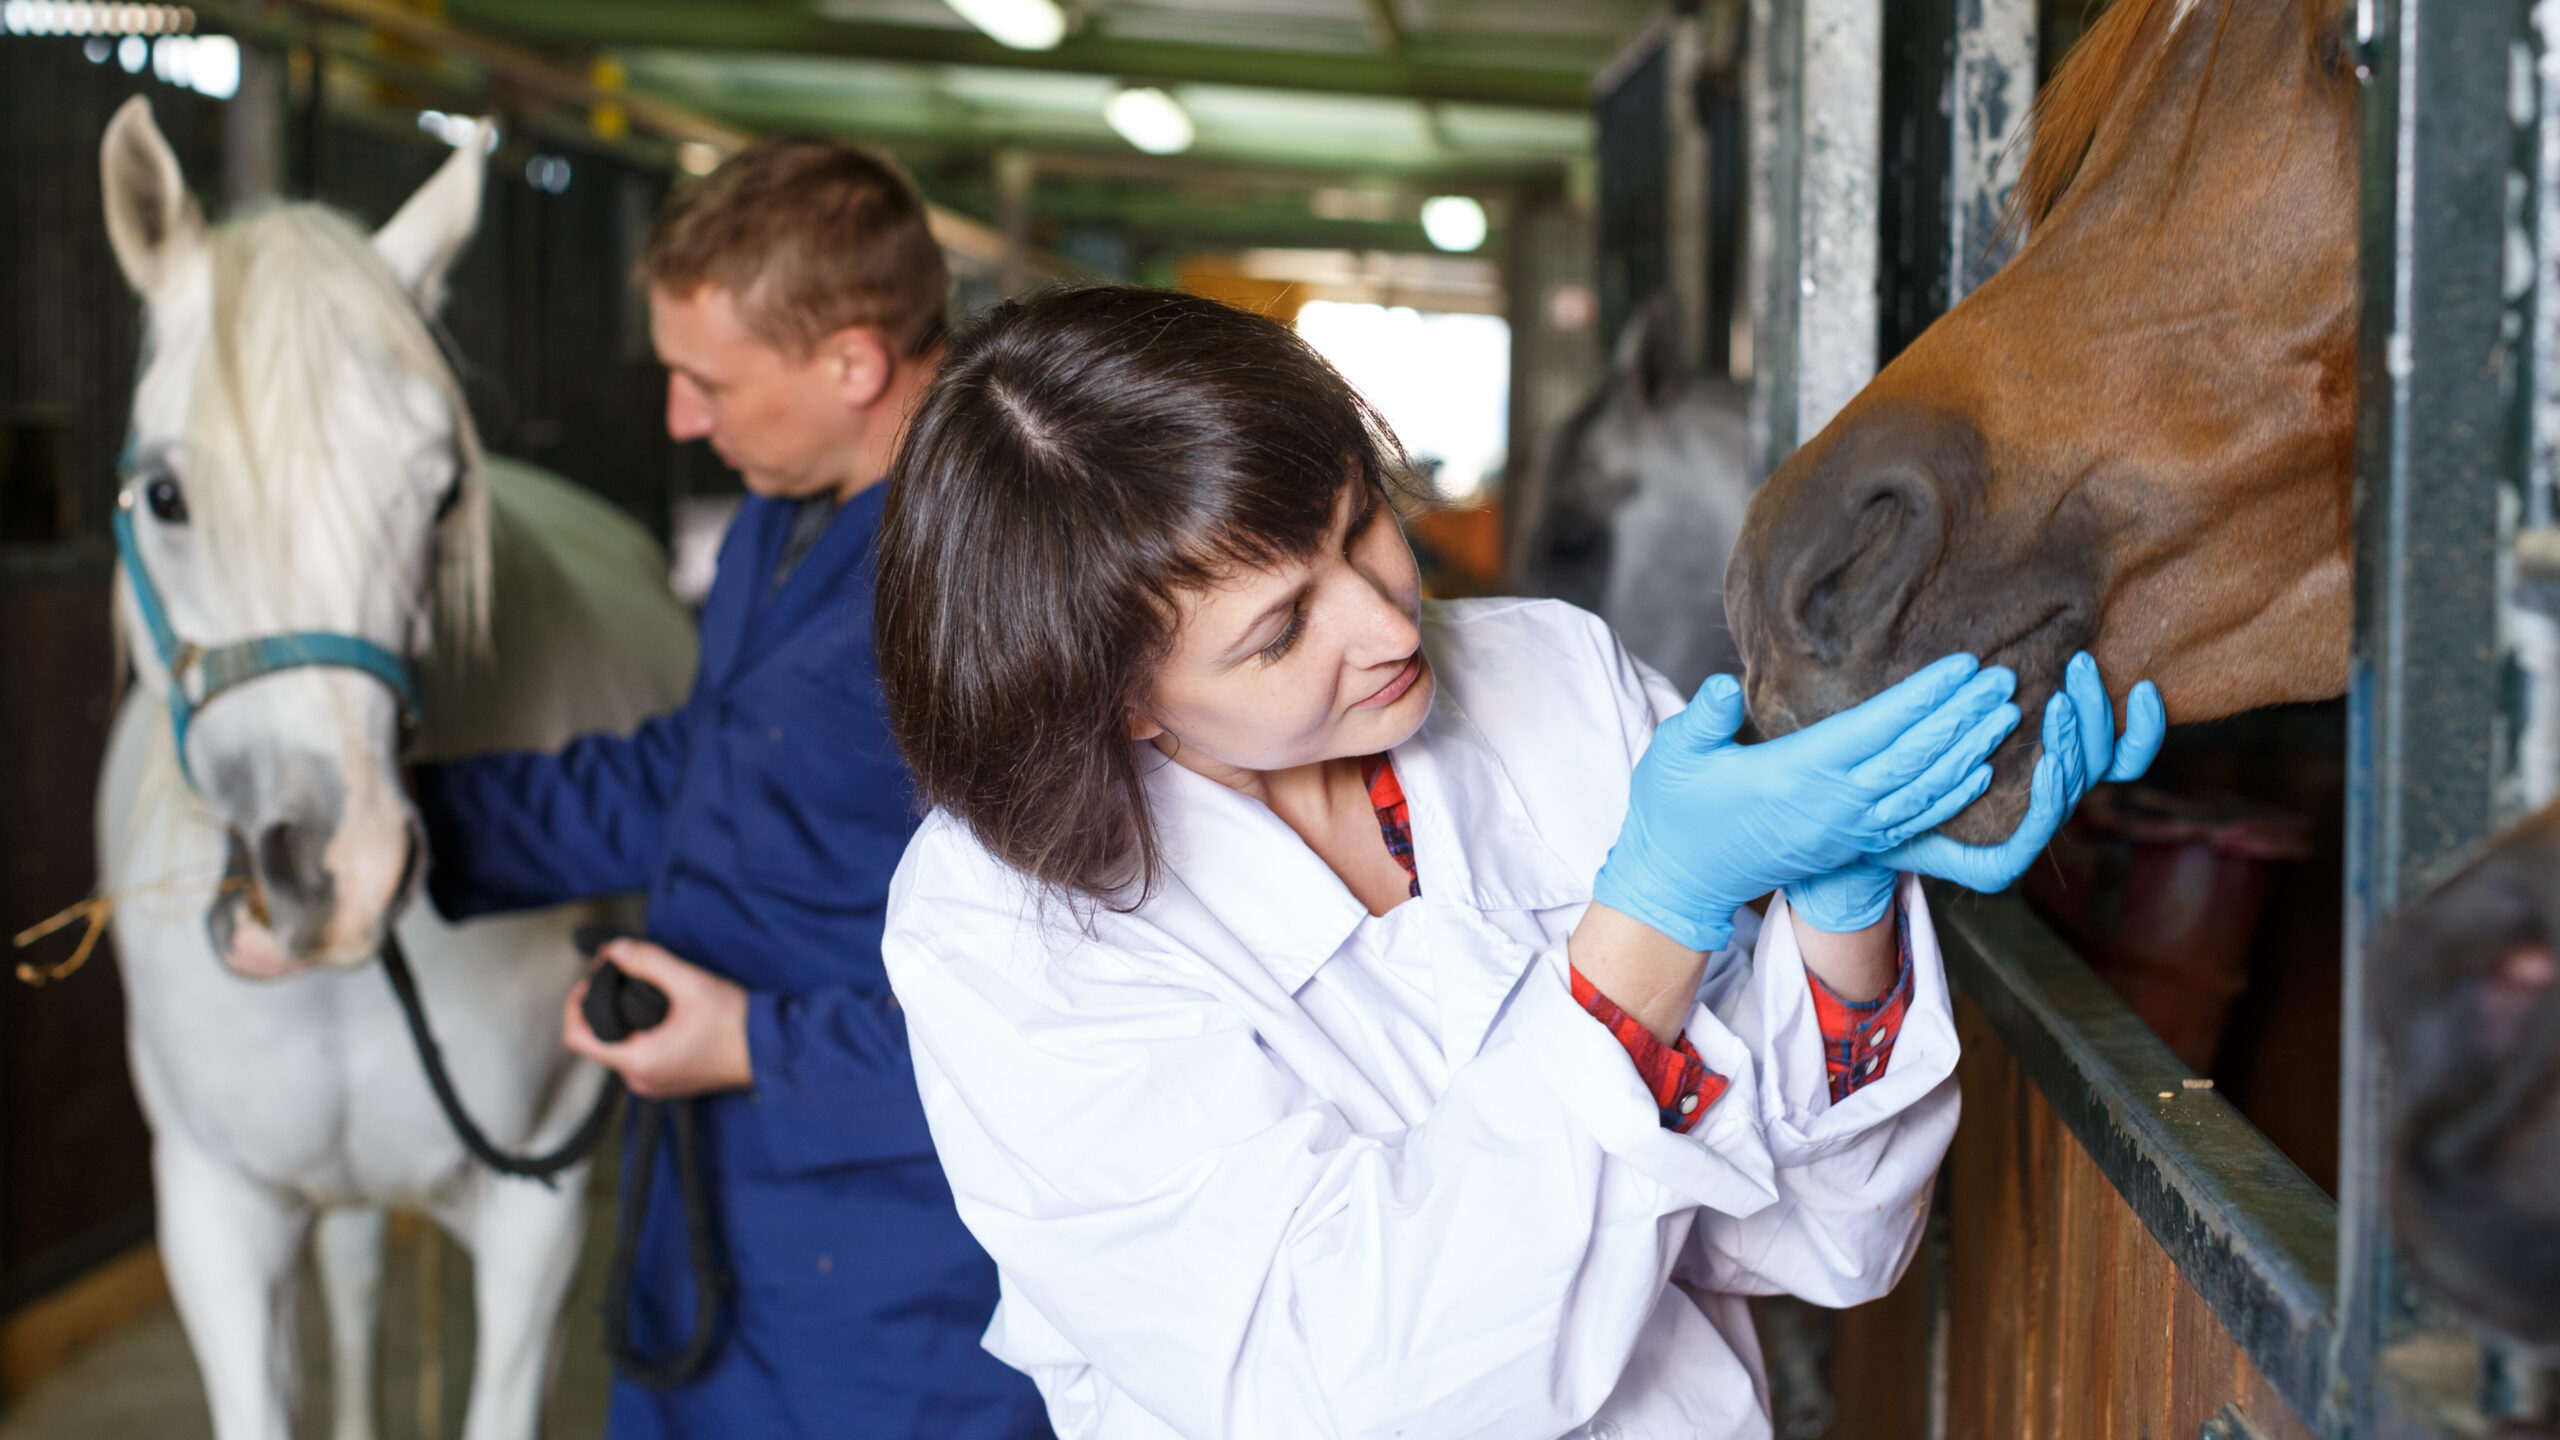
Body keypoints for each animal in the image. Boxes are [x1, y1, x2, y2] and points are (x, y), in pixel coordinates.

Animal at [93, 98, 696, 1434]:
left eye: (441, 493)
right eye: (164, 493)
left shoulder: (534, 1214)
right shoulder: (216, 1214)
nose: (344, 871)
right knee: (360, 1280)